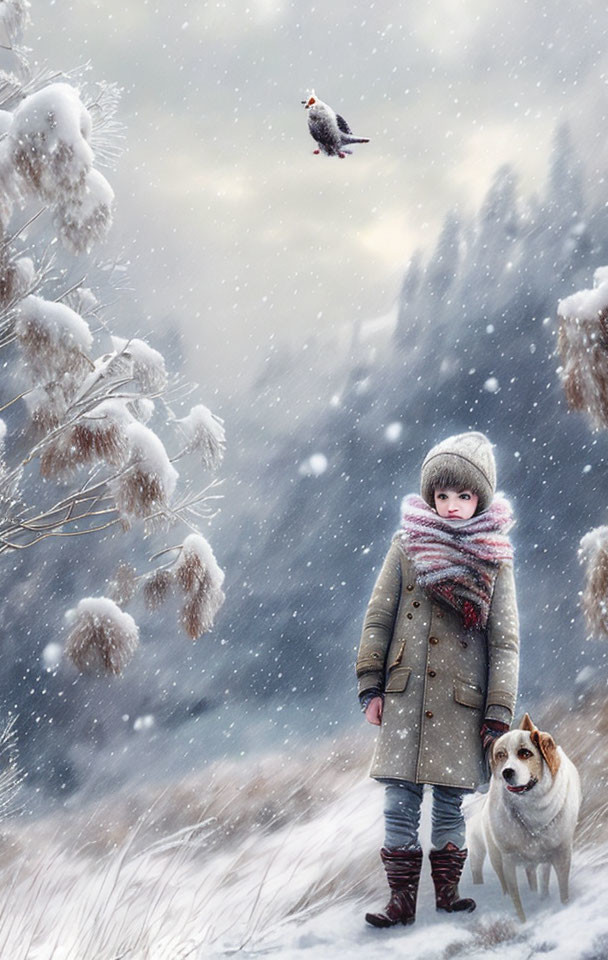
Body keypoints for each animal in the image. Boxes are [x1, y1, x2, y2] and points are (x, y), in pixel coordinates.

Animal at [468, 712, 580, 924]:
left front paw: (563, 908)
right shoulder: (508, 862)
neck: (534, 810)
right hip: (493, 857)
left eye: (525, 753)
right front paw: (523, 922)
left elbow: (564, 892)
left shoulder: (562, 854)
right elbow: (517, 902)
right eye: (501, 755)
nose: (506, 772)